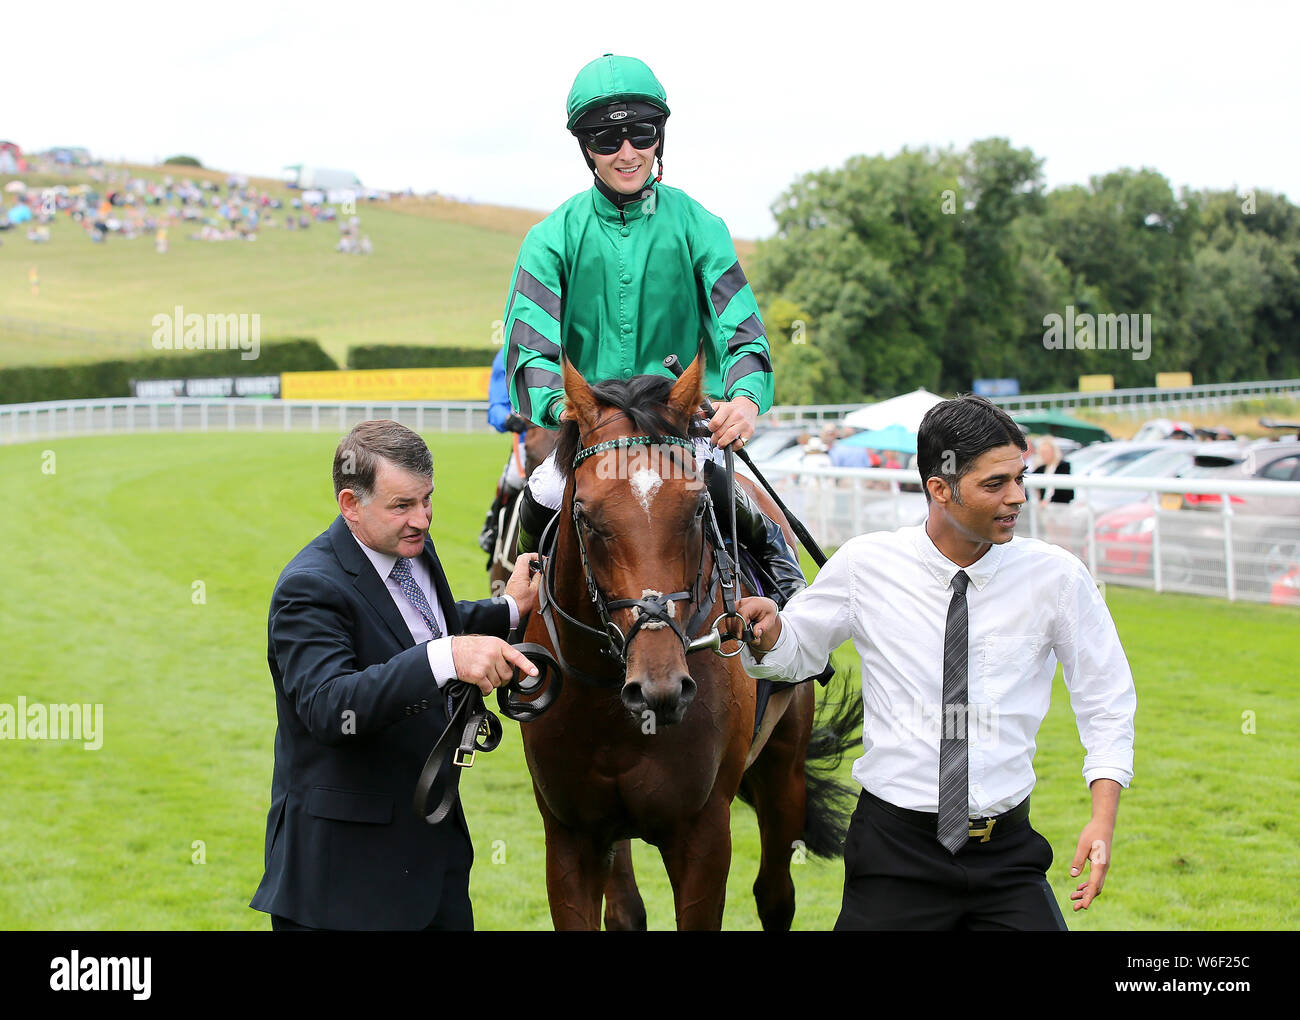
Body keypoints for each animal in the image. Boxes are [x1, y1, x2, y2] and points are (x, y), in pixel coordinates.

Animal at [517, 353, 863, 930]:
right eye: (584, 516)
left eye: (699, 509)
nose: (659, 688)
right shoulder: (571, 835)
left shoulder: (702, 835)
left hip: (783, 766)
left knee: (775, 893)